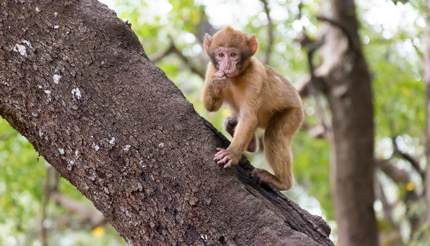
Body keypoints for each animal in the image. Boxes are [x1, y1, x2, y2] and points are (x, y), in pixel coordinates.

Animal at [203, 26, 304, 190]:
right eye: (220, 55)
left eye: (233, 55)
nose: (226, 65)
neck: (235, 77)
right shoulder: (211, 69)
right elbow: (211, 107)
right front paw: (217, 83)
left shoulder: (255, 75)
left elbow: (249, 117)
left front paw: (232, 154)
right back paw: (245, 139)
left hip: (294, 113)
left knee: (274, 135)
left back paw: (282, 182)